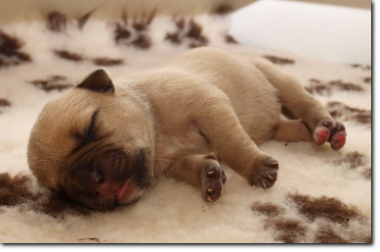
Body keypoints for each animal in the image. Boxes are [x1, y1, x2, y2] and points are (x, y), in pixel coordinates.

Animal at [26, 47, 348, 211]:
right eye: (61, 189)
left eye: (90, 127)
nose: (92, 180)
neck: (157, 133)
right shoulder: (170, 163)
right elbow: (192, 165)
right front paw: (209, 175)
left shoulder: (210, 107)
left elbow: (231, 144)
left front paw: (256, 168)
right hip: (275, 123)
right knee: (291, 127)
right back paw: (316, 134)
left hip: (275, 76)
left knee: (305, 102)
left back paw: (327, 128)